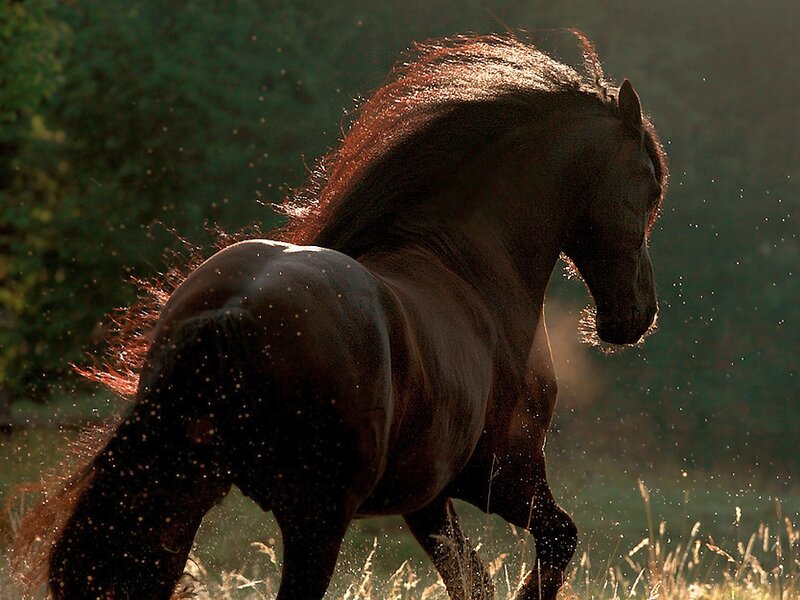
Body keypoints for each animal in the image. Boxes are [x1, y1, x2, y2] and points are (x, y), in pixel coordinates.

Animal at [12, 33, 667, 600]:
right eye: (648, 184)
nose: (637, 315)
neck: (472, 265)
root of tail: (232, 310)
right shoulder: (503, 474)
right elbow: (558, 540)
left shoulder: (427, 498)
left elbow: (472, 579)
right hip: (315, 520)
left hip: (185, 486)